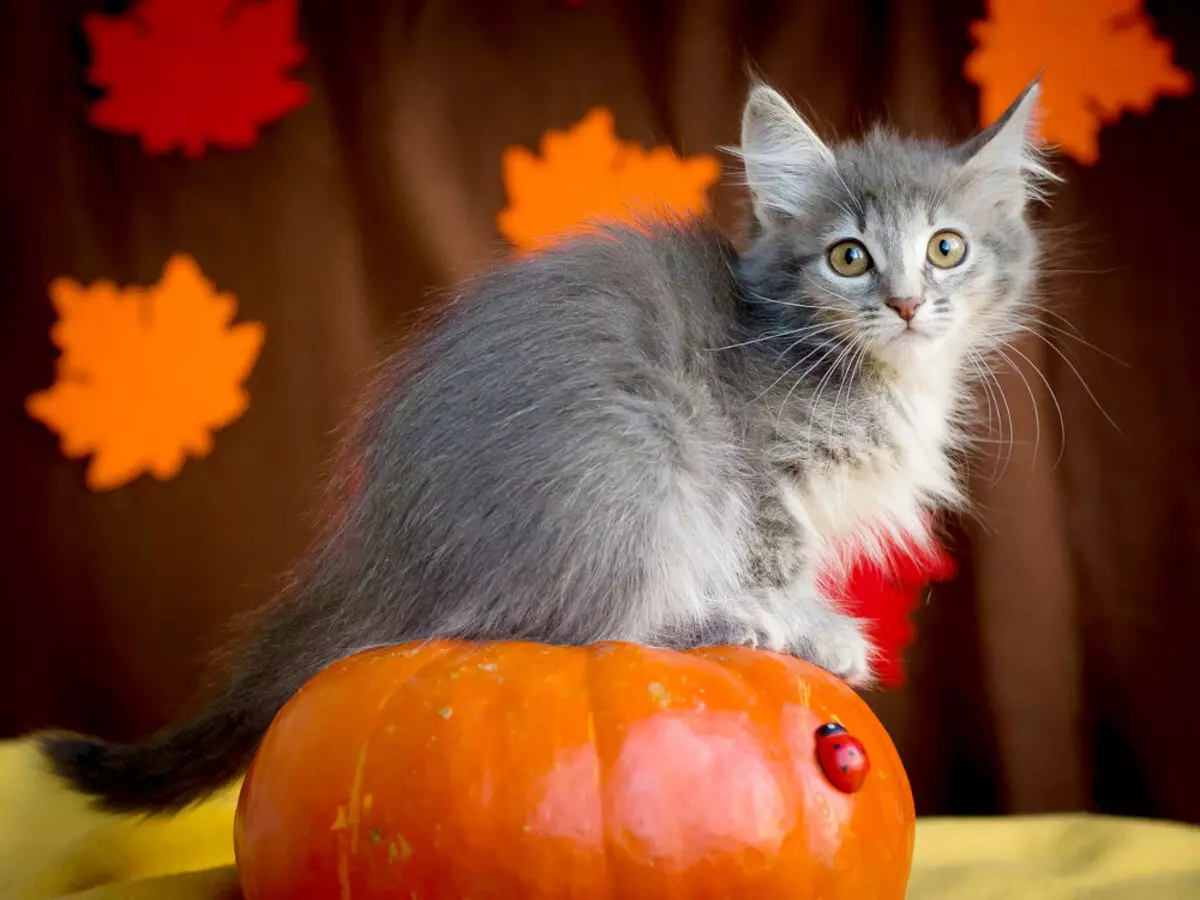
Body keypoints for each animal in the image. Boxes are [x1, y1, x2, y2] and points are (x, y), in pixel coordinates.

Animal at [39, 82, 1051, 811]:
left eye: (948, 248)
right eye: (849, 257)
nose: (908, 304)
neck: (861, 370)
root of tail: (379, 543)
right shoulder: (758, 474)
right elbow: (773, 560)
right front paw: (808, 629)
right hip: (635, 460)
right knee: (575, 624)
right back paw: (721, 623)